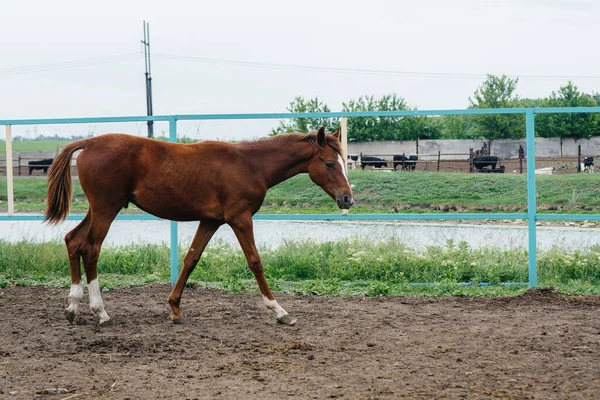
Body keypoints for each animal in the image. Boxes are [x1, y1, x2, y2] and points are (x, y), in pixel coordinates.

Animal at [45, 127, 352, 324]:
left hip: (99, 209)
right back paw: (101, 313)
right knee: (91, 249)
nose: (347, 198)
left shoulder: (210, 221)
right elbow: (255, 261)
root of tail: (89, 143)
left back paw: (72, 308)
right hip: (106, 209)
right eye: (329, 163)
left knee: (73, 241)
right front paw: (279, 311)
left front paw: (175, 309)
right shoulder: (240, 219)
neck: (249, 165)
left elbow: (191, 258)